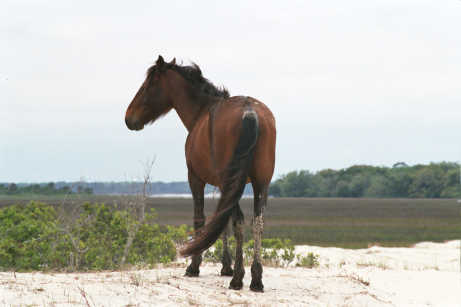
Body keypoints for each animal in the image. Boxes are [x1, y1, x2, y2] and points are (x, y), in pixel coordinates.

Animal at [124, 56, 274, 294]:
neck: (202, 112)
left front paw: (195, 265)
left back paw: (238, 279)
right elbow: (221, 222)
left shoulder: (195, 179)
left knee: (239, 222)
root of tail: (249, 111)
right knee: (256, 222)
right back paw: (256, 279)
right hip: (261, 183)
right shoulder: (225, 186)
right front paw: (226, 266)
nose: (129, 118)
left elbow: (201, 219)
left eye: (147, 86)